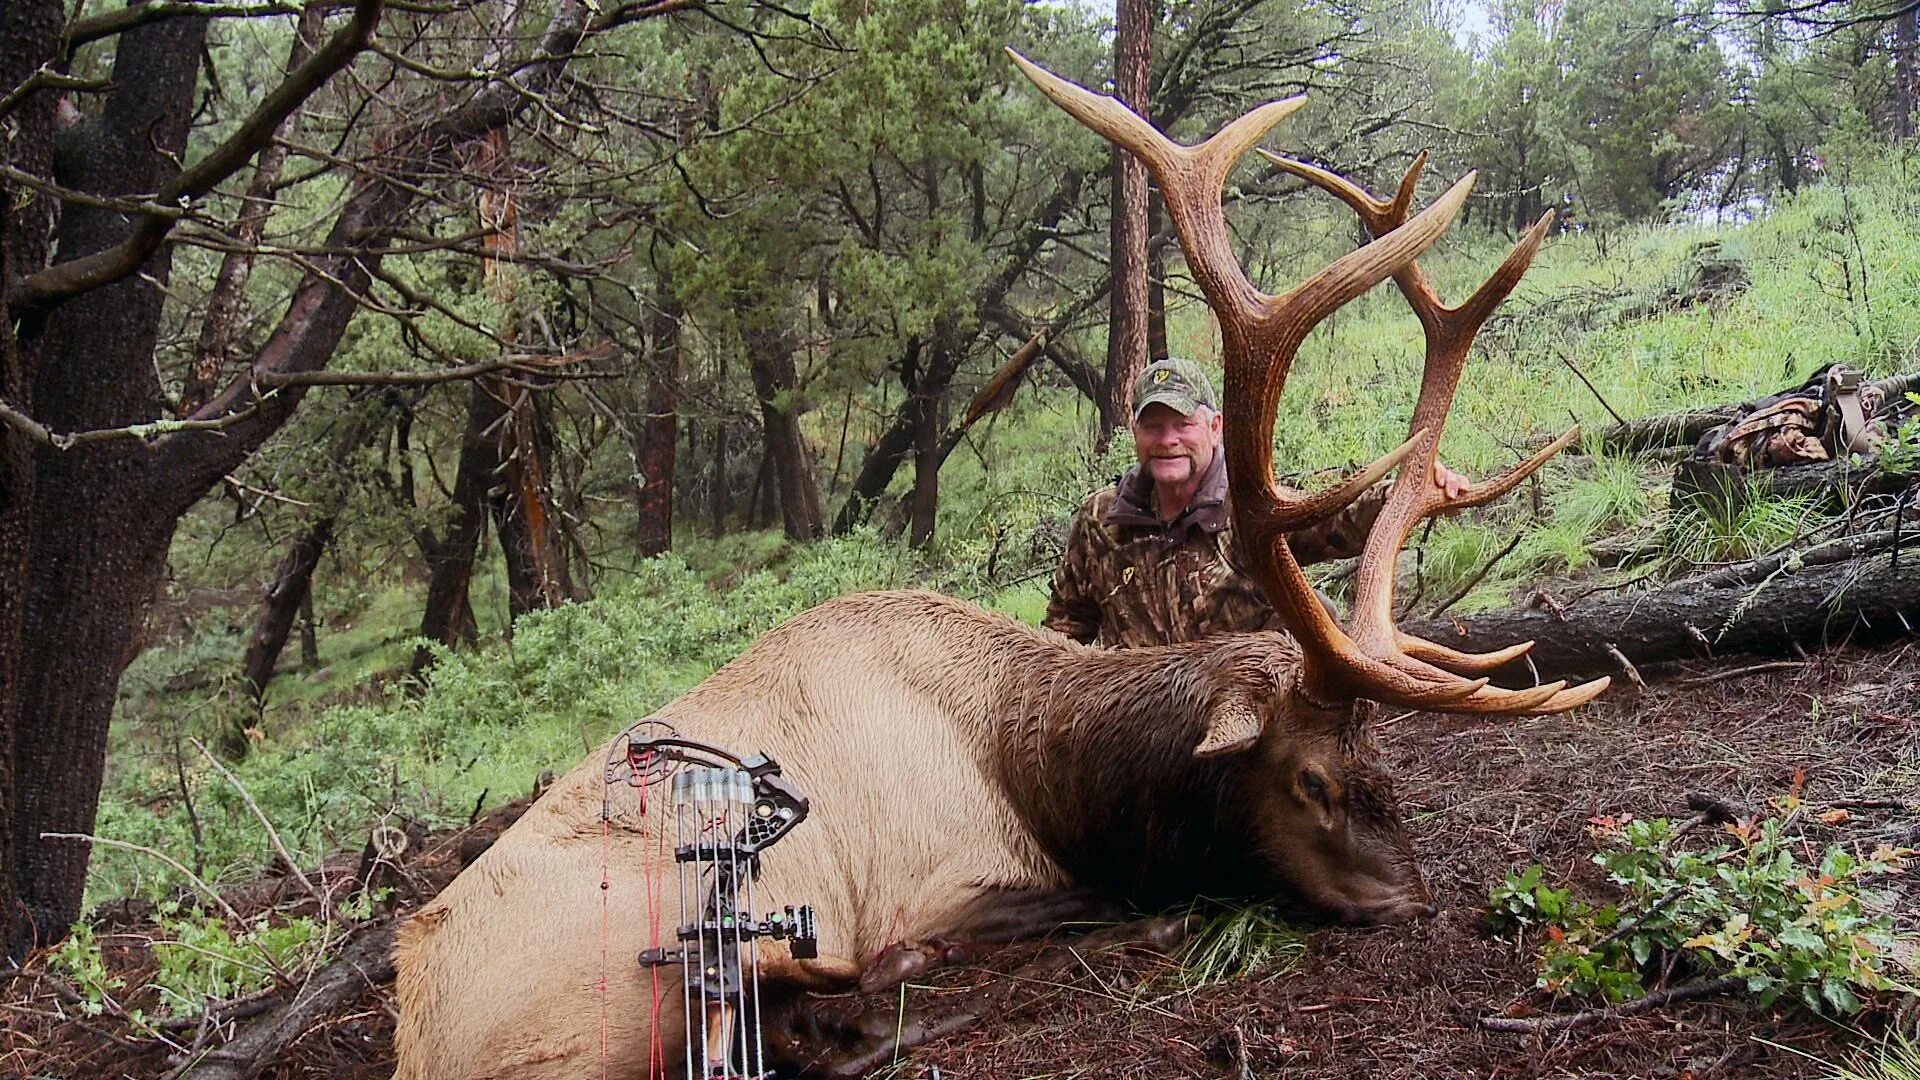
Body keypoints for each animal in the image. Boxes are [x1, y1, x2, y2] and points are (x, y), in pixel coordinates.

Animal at [389, 54, 1605, 1076]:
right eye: (1309, 779)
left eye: (1381, 760)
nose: (1412, 900)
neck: (1047, 770)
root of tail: (413, 1032)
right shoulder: (947, 883)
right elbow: (1080, 903)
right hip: (633, 996)